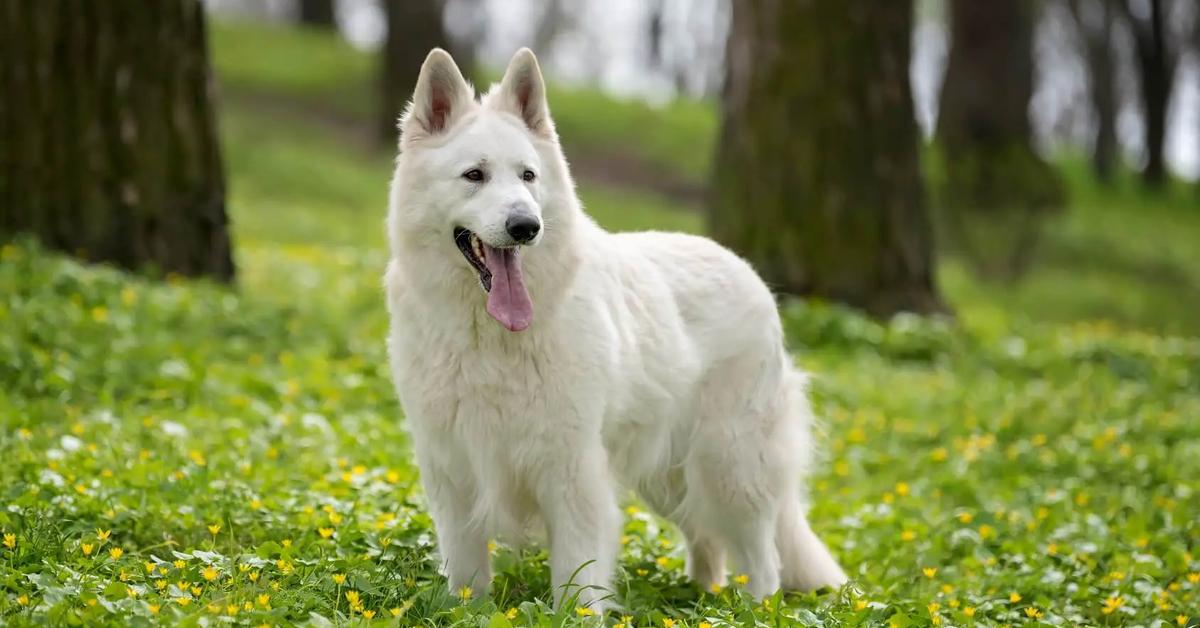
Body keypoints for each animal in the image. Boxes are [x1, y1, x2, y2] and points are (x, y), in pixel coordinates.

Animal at [384, 50, 844, 614]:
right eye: (474, 175)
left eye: (528, 176)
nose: (526, 227)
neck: (488, 337)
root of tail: (745, 269)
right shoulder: (453, 471)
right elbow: (467, 571)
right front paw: (466, 612)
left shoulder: (573, 473)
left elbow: (577, 579)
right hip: (669, 476)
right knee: (708, 539)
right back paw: (702, 597)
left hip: (729, 466)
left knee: (762, 555)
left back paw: (750, 609)